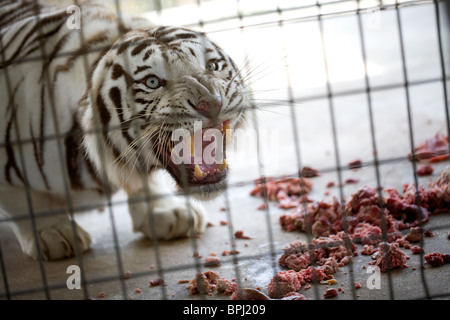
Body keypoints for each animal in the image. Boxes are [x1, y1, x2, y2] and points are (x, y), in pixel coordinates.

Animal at [0, 0, 250, 260]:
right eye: (152, 82)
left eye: (213, 66)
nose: (211, 103)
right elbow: (24, 199)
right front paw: (53, 232)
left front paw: (167, 212)